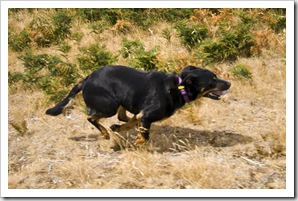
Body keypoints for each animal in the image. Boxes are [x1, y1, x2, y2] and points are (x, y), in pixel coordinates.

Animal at [45, 65, 230, 145]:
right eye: (213, 80)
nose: (229, 83)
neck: (179, 88)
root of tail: (86, 80)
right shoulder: (146, 115)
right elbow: (144, 138)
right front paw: (135, 143)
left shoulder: (142, 115)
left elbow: (131, 124)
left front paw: (120, 129)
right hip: (109, 105)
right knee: (91, 117)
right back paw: (105, 133)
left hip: (121, 101)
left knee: (122, 116)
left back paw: (114, 127)